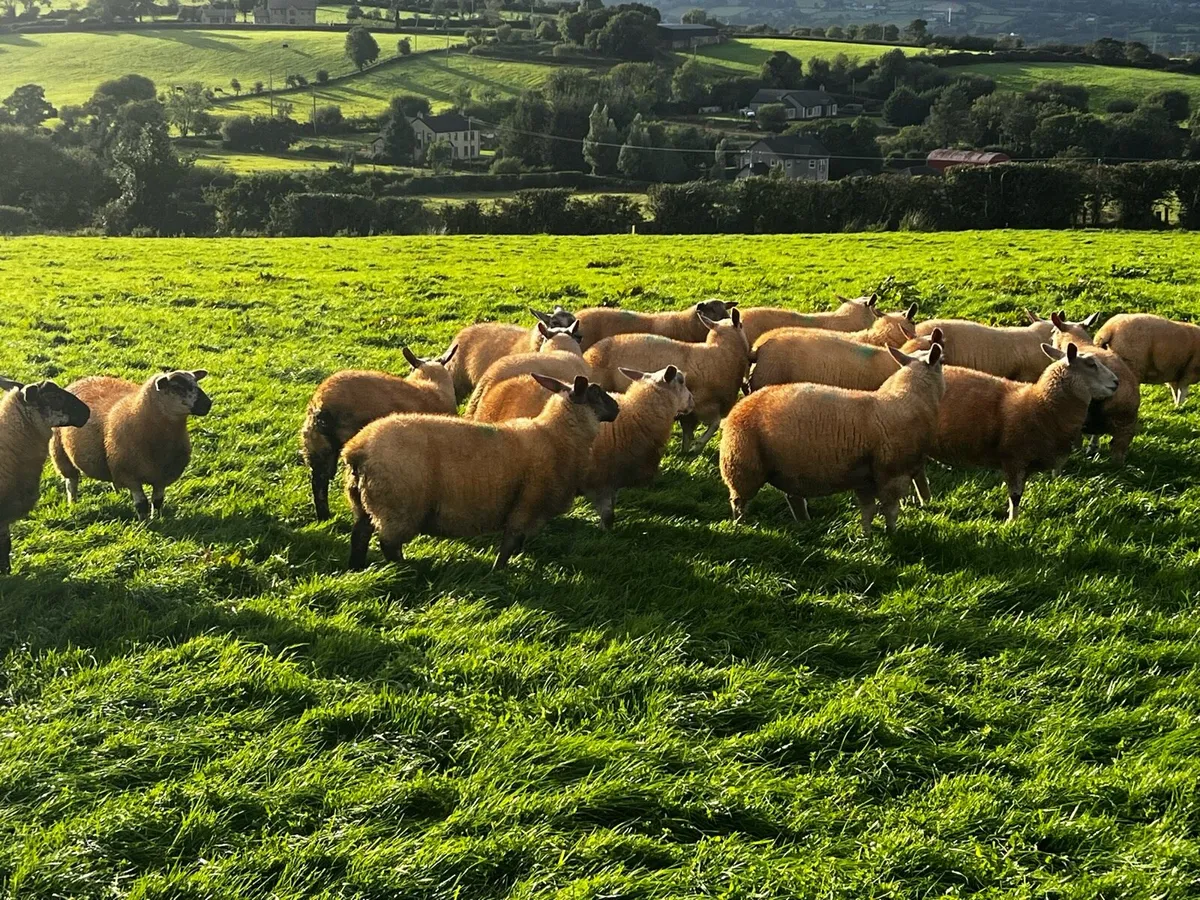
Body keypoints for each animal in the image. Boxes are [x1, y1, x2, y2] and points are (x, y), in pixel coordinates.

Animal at [49, 370, 211, 520]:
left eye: (196, 382)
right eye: (177, 387)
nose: (207, 404)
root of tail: (83, 379)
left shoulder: (162, 477)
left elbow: (158, 501)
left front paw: (158, 517)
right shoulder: (130, 476)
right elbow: (142, 503)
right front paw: (145, 524)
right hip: (60, 453)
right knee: (71, 482)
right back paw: (73, 504)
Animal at [342, 374, 620, 571]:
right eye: (596, 392)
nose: (617, 408)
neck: (555, 437)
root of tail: (357, 449)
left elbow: (517, 544)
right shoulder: (526, 505)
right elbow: (510, 543)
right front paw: (499, 570)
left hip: (365, 502)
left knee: (360, 536)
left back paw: (357, 567)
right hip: (398, 506)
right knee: (388, 544)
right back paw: (407, 569)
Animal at [584, 308, 752, 452]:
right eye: (742, 325)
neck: (722, 351)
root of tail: (588, 355)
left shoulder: (689, 412)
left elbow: (688, 432)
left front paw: (686, 451)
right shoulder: (703, 404)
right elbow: (715, 425)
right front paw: (698, 445)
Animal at [720, 341, 946, 536]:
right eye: (942, 361)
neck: (908, 400)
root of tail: (738, 407)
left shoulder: (865, 479)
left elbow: (868, 510)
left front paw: (867, 537)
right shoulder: (893, 473)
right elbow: (890, 510)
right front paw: (893, 535)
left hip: (784, 469)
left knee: (793, 497)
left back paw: (804, 524)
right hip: (742, 467)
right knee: (738, 503)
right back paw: (741, 526)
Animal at [912, 342, 1118, 520]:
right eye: (1091, 364)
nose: (1116, 382)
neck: (1041, 404)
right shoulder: (1014, 458)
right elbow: (1015, 495)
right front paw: (1012, 521)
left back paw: (925, 500)